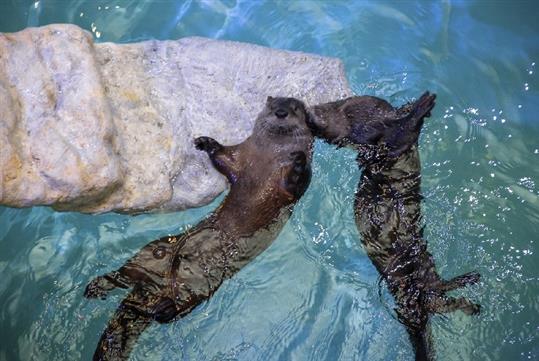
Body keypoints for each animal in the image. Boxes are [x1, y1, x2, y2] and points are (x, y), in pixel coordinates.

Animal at [82, 96, 314, 360]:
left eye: (295, 108)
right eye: (273, 104)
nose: (281, 112)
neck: (267, 159)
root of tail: (156, 289)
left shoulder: (286, 189)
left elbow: (297, 182)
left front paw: (298, 161)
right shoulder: (239, 157)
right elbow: (221, 156)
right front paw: (205, 142)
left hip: (200, 289)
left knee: (171, 310)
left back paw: (157, 308)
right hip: (155, 250)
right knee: (126, 273)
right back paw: (96, 287)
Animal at [310, 91, 484, 358]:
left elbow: (397, 132)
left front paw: (420, 103)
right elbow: (397, 134)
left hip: (423, 267)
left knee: (439, 292)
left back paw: (470, 284)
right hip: (417, 281)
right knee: (439, 300)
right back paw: (470, 300)